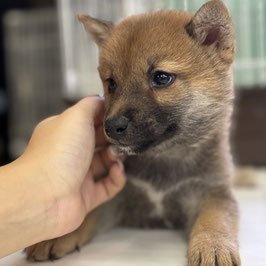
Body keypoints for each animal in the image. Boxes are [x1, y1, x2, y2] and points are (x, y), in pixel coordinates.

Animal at [26, 1, 241, 264]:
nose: (111, 126)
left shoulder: (213, 193)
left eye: (161, 78)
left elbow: (215, 219)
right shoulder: (117, 200)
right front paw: (59, 235)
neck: (163, 158)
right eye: (111, 83)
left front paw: (213, 246)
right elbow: (88, 214)